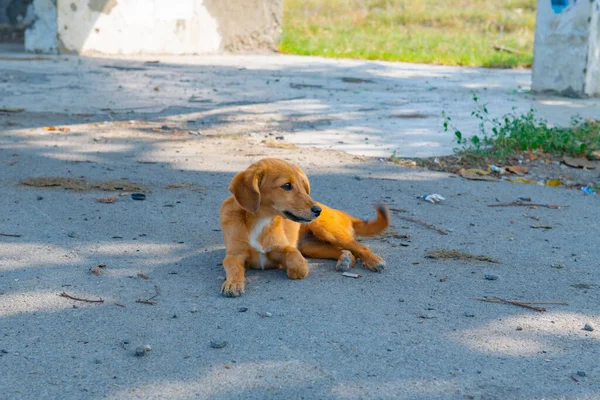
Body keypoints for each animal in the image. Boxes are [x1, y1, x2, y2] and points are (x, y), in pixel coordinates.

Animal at [219, 158, 390, 296]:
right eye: (287, 186)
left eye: (303, 186)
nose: (317, 211)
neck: (261, 220)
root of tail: (342, 213)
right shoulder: (233, 255)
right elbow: (235, 268)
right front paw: (233, 283)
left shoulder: (286, 248)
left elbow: (298, 265)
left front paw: (289, 268)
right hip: (311, 247)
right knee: (346, 252)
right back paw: (345, 259)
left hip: (328, 231)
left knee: (359, 247)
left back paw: (374, 261)